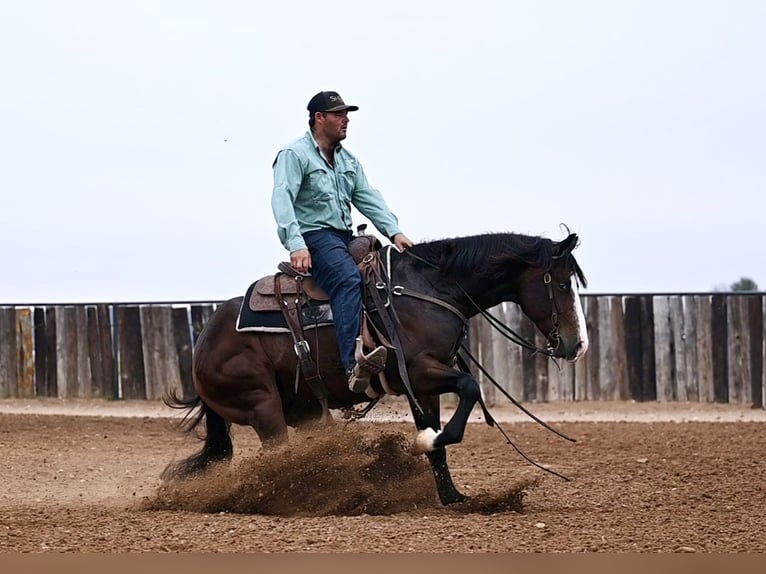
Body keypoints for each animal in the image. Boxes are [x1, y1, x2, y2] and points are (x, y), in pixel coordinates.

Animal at [162, 231, 588, 505]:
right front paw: (426, 442)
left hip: (301, 409)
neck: (429, 290)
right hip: (261, 405)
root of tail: (204, 343)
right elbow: (469, 388)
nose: (578, 345)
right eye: (561, 284)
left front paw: (453, 496)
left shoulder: (425, 387)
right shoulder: (418, 371)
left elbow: (439, 439)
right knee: (277, 459)